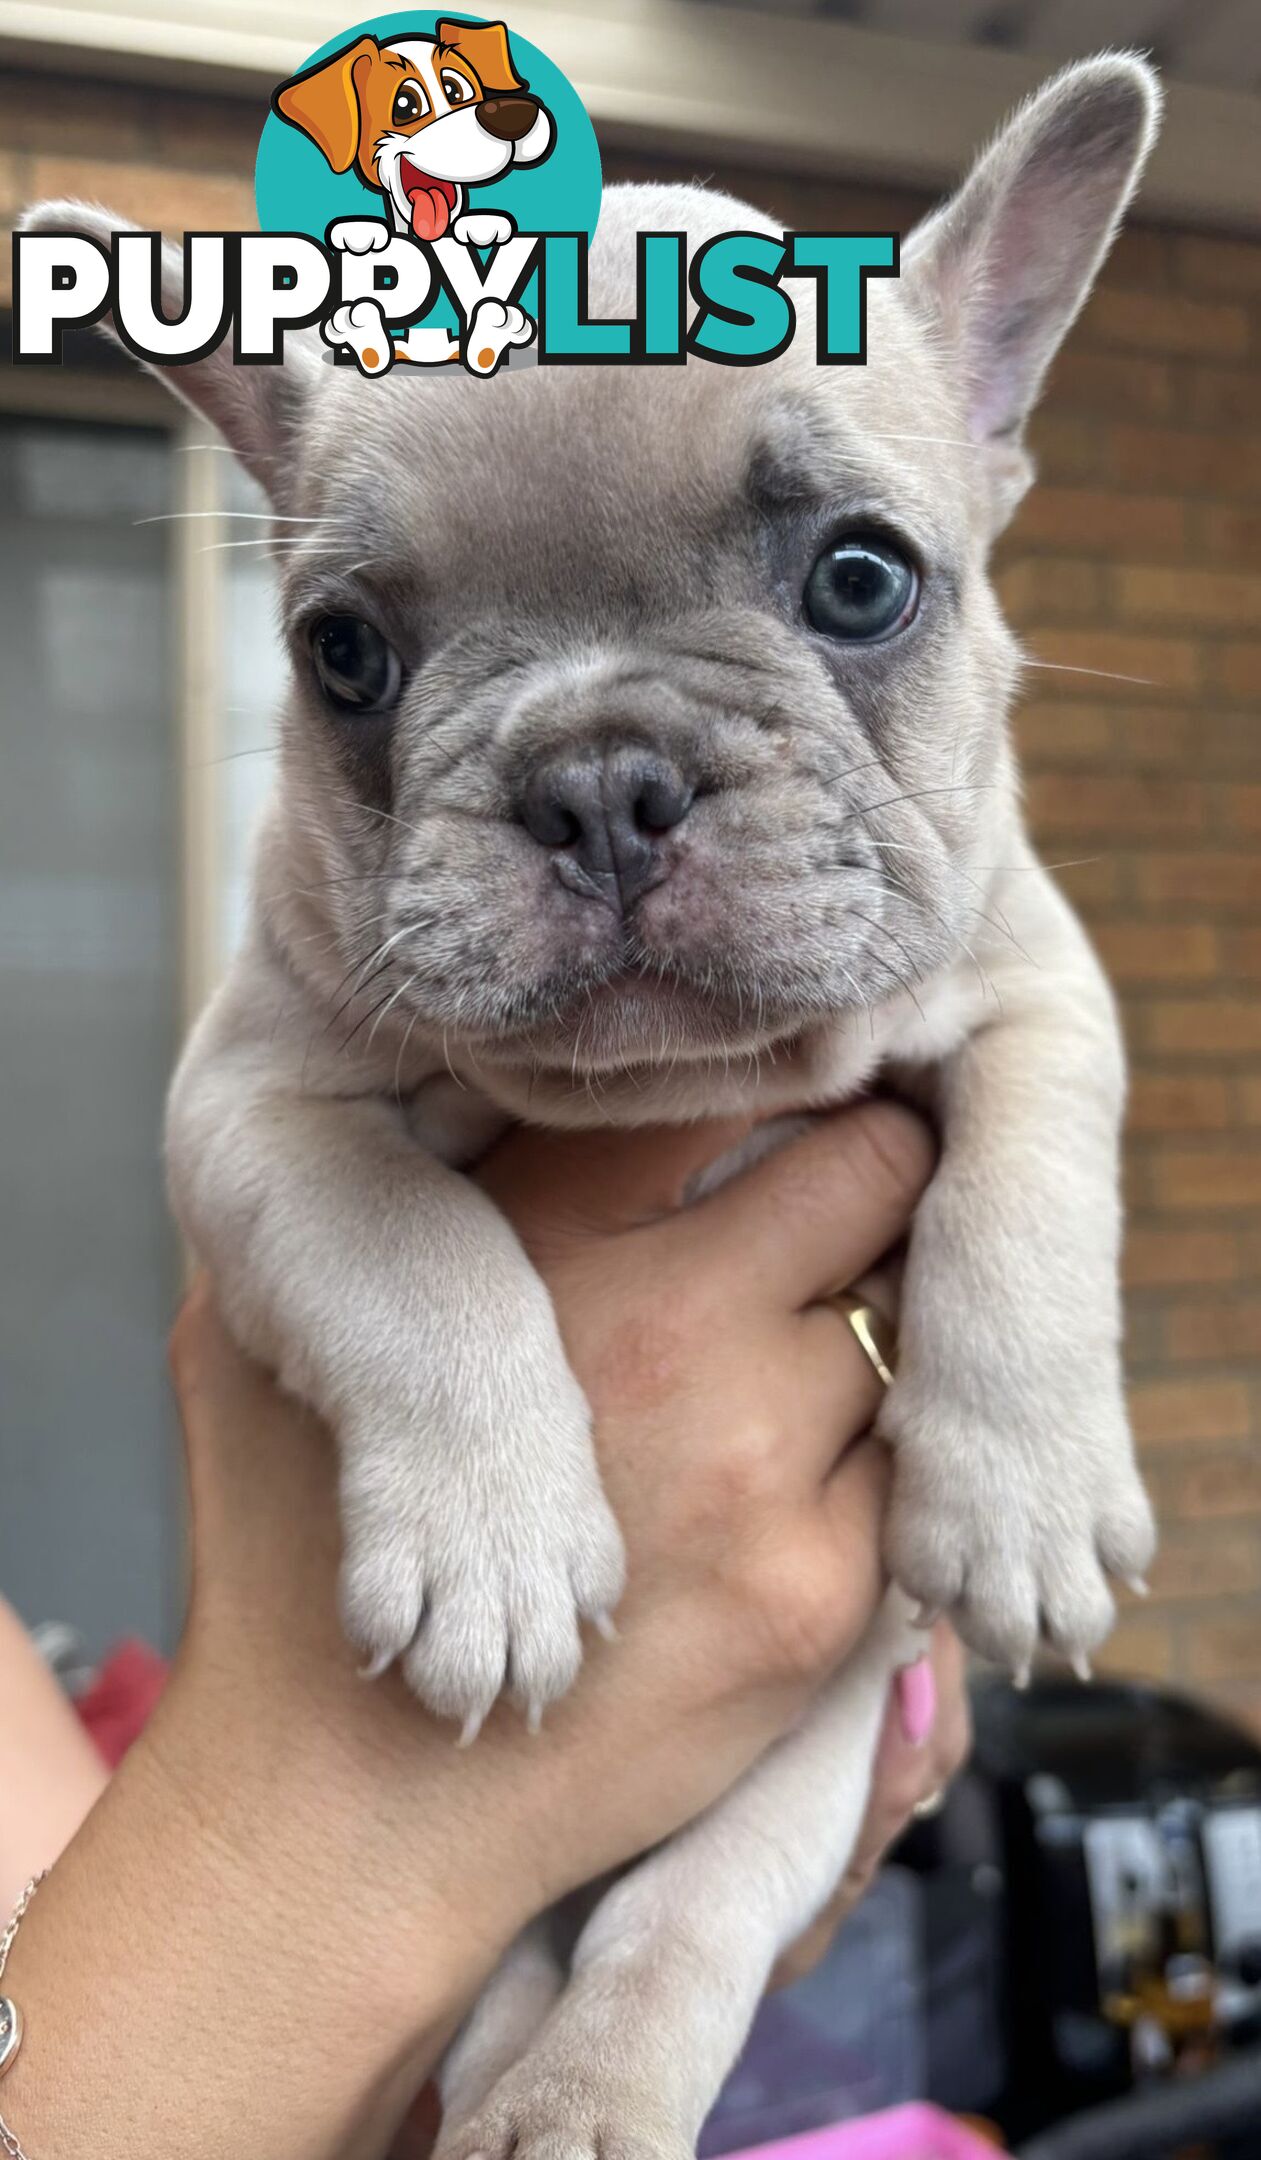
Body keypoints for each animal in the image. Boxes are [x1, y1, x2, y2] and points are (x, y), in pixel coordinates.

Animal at [24, 46, 1157, 2160]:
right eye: (342, 653)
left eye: (861, 578)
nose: (601, 774)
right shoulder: (250, 1102)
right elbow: (409, 1242)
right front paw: (494, 1539)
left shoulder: (1040, 983)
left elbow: (1031, 1196)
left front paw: (1025, 1493)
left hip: (805, 1752)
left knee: (673, 1919)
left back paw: (584, 2089)